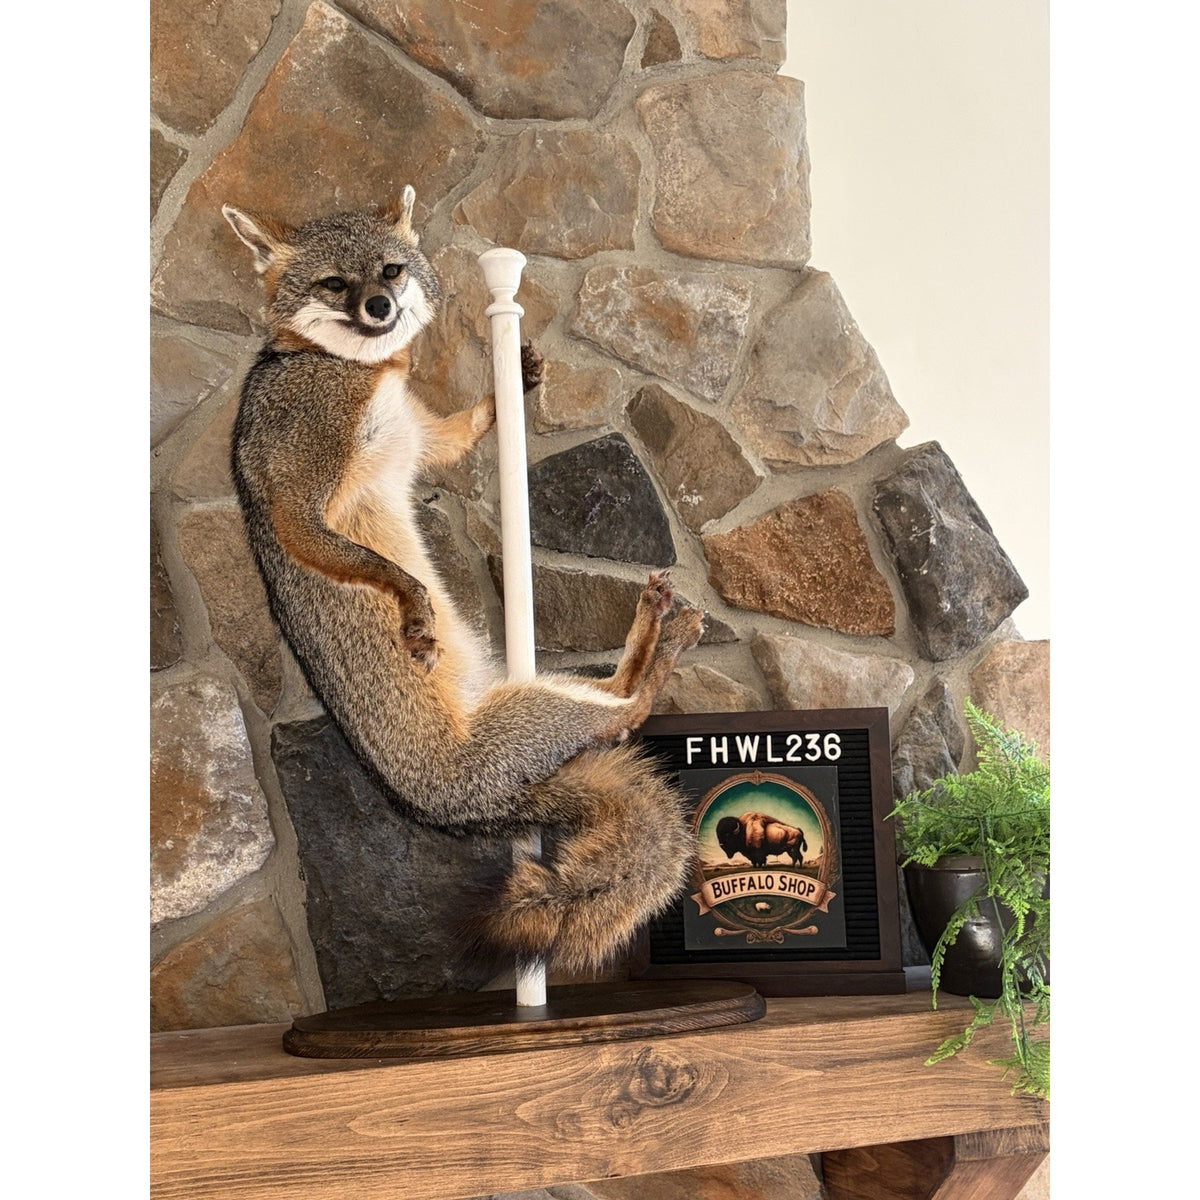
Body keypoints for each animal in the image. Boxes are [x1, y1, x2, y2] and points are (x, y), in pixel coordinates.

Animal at [221, 187, 703, 975]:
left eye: (389, 270)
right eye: (335, 284)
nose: (380, 305)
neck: (349, 370)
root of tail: (470, 813)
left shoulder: (420, 438)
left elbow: (455, 433)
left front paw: (507, 393)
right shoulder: (296, 501)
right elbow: (377, 567)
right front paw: (414, 605)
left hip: (537, 689)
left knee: (618, 698)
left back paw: (657, 621)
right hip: (540, 710)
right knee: (630, 711)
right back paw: (662, 643)